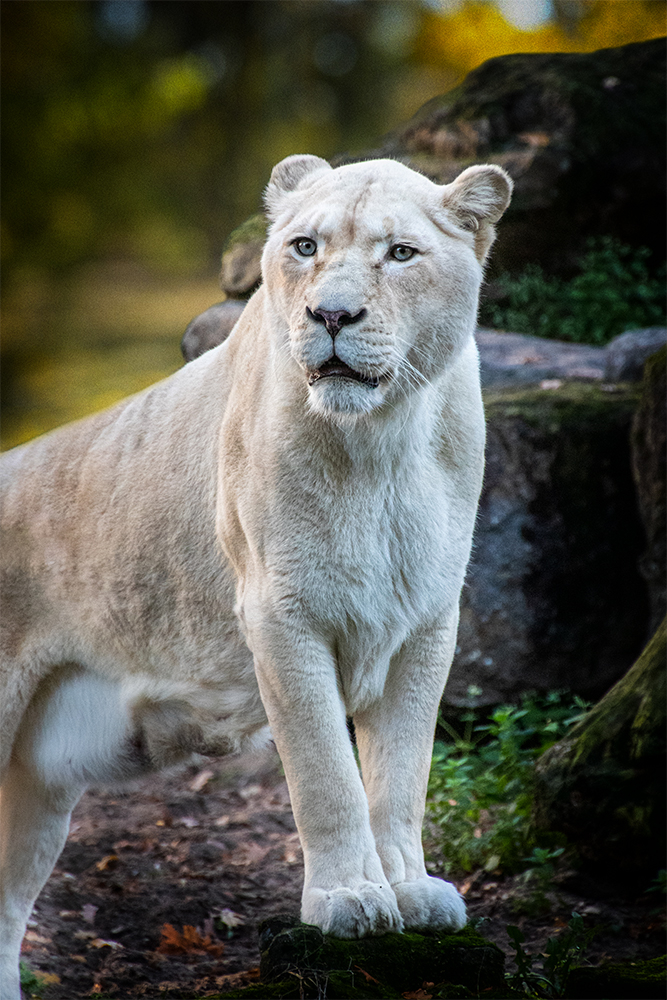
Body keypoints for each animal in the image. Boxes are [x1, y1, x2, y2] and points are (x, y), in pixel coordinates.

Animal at [0, 156, 512, 1000]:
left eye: (400, 254)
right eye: (305, 246)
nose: (330, 314)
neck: (380, 447)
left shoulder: (426, 622)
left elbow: (402, 772)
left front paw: (410, 891)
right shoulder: (281, 615)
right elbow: (327, 773)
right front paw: (349, 899)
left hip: (35, 785)